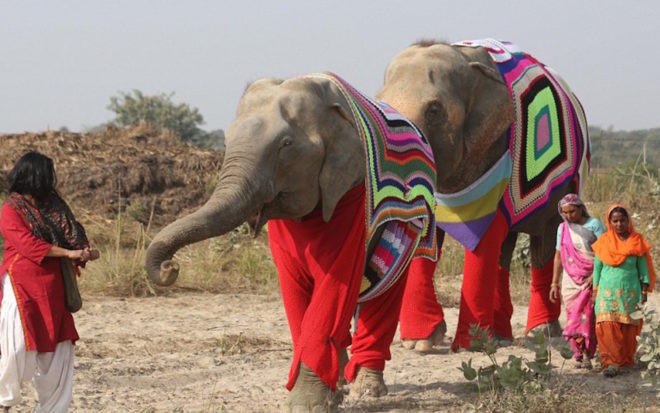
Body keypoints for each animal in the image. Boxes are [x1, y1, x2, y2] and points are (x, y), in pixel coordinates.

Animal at [145, 73, 438, 412]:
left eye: (285, 145)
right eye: (226, 141)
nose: (170, 267)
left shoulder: (351, 198)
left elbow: (333, 288)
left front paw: (308, 403)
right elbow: (296, 292)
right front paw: (325, 394)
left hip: (406, 225)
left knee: (384, 291)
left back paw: (367, 389)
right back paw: (341, 379)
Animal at [376, 38, 590, 351]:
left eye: (434, 110)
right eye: (378, 103)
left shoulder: (494, 154)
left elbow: (484, 238)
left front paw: (471, 344)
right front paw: (421, 342)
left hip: (562, 187)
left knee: (543, 242)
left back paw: (541, 333)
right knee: (506, 248)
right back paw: (501, 335)